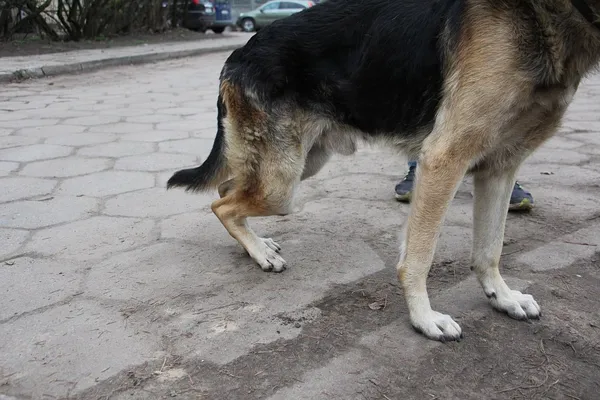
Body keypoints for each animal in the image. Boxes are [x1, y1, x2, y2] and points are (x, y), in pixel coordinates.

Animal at [168, 0, 600, 344]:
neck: (544, 16)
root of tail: (238, 53)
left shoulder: (500, 168)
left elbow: (490, 249)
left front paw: (502, 296)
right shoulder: (443, 161)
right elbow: (420, 257)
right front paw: (424, 319)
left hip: (301, 163)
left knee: (227, 189)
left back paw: (255, 244)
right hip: (282, 182)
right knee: (223, 204)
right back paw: (259, 253)